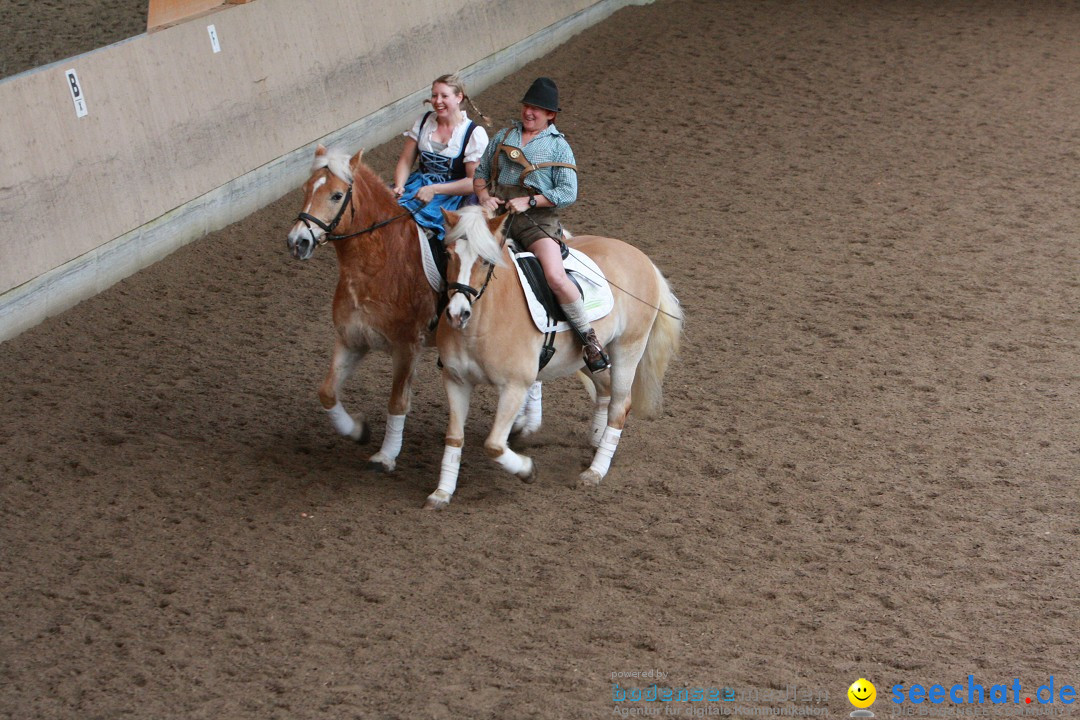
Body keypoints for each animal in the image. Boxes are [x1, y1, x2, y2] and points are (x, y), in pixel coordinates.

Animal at [287, 146, 544, 472]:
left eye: (336, 195)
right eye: (306, 190)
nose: (297, 242)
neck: (378, 263)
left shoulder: (407, 346)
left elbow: (397, 402)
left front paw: (386, 456)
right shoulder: (352, 339)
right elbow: (327, 392)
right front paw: (357, 430)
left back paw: (528, 424)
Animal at [423, 205, 682, 509]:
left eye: (486, 261)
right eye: (448, 253)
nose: (457, 314)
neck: (482, 322)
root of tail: (641, 257)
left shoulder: (514, 387)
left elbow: (494, 445)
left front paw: (527, 470)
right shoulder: (456, 381)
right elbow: (454, 438)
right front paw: (441, 493)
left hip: (628, 348)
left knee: (620, 405)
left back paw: (595, 471)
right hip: (587, 358)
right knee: (604, 388)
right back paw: (596, 441)